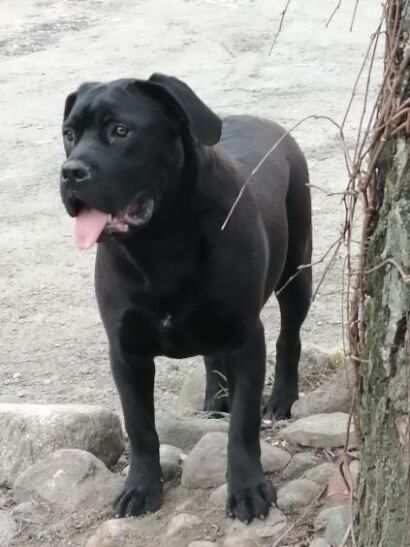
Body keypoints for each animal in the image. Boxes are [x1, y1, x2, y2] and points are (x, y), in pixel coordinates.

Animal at [60, 73, 310, 524]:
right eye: (69, 135)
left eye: (120, 131)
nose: (71, 171)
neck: (161, 242)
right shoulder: (125, 351)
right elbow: (140, 426)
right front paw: (140, 488)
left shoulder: (247, 336)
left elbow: (243, 424)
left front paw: (248, 489)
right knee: (212, 356)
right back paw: (215, 400)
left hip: (296, 272)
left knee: (289, 339)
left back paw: (281, 398)